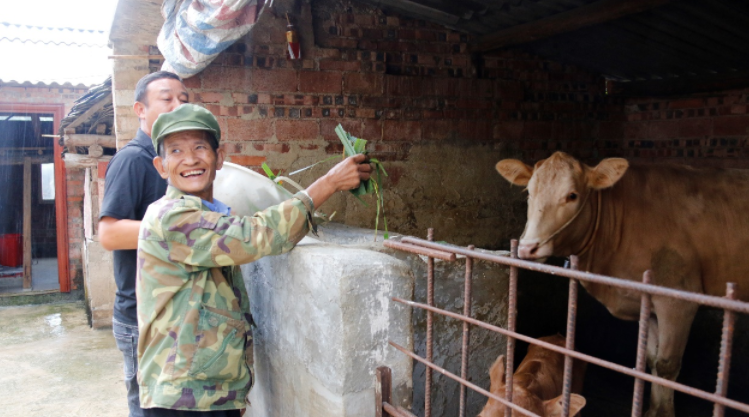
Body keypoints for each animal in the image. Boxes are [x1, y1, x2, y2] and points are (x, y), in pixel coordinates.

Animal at [496, 153, 748, 416]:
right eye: (529, 192)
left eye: (572, 195)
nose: (528, 247)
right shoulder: (649, 303)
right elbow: (652, 361)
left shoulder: (677, 300)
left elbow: (666, 366)